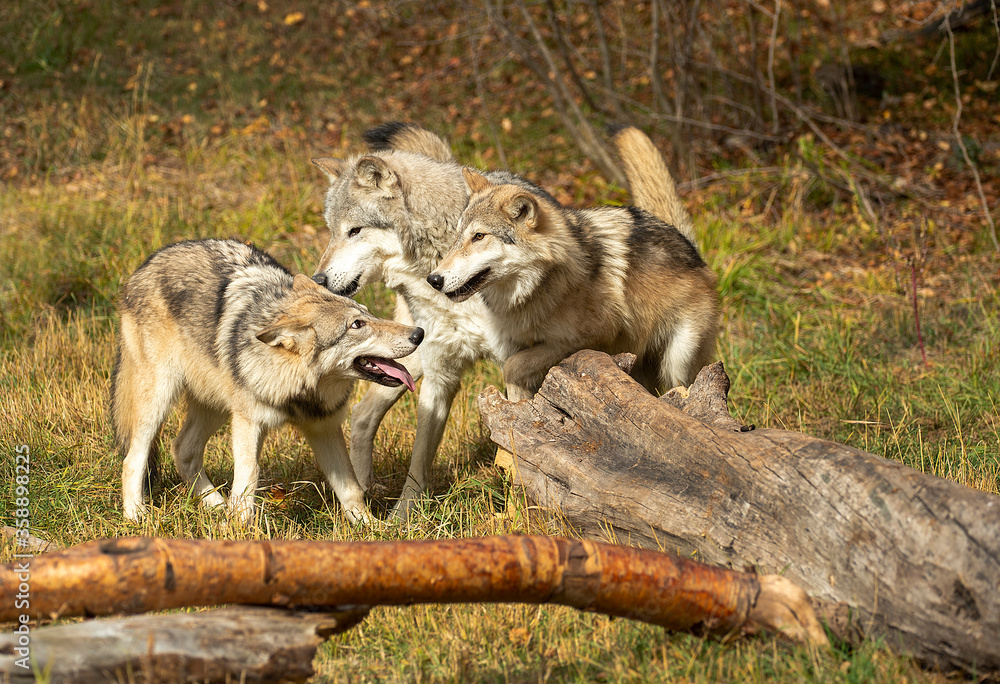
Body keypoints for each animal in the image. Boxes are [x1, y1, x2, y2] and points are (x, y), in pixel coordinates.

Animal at [113, 239, 423, 524]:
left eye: (368, 313)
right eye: (357, 325)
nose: (418, 333)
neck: (301, 393)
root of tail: (144, 266)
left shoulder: (324, 427)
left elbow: (350, 488)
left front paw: (373, 528)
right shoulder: (249, 423)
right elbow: (250, 475)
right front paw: (240, 528)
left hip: (216, 406)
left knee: (183, 449)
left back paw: (216, 505)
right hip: (160, 401)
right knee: (133, 459)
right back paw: (136, 514)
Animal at [426, 164, 718, 403]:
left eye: (479, 236)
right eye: (457, 236)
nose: (434, 279)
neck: (536, 289)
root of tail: (697, 256)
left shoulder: (588, 338)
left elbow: (513, 368)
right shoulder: (515, 347)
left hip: (677, 362)